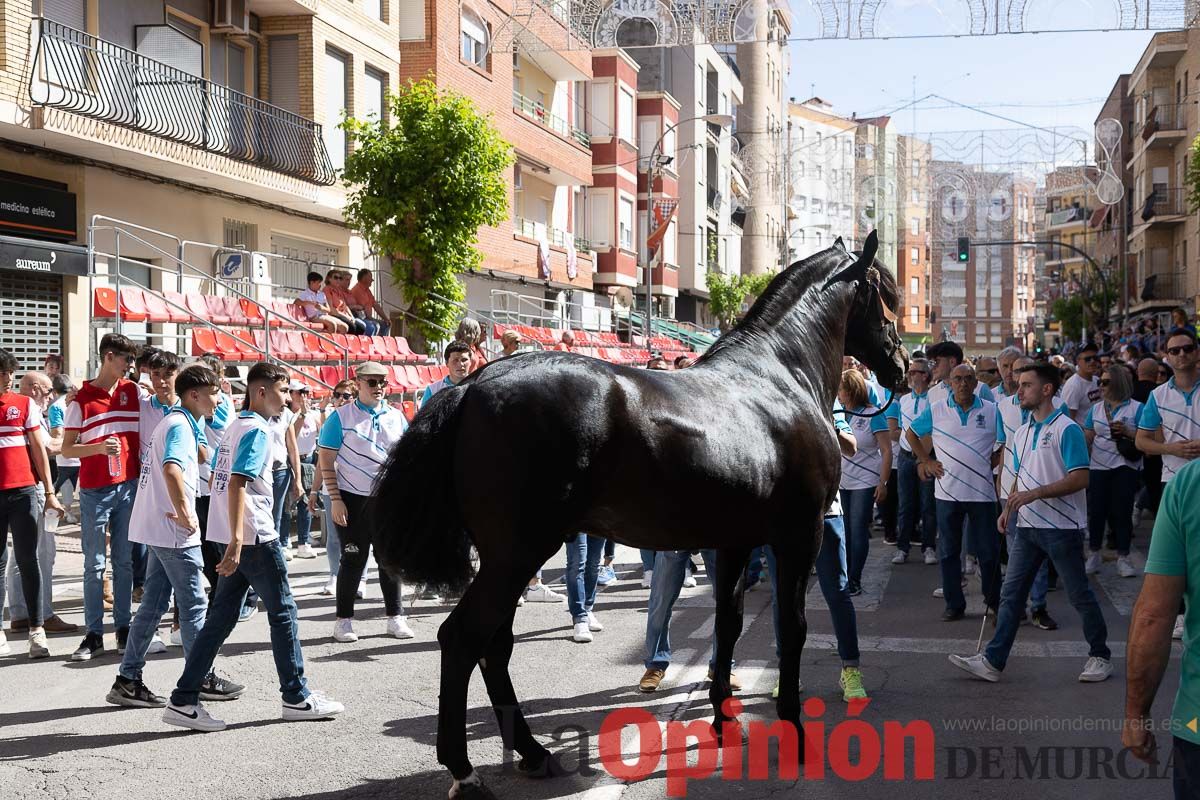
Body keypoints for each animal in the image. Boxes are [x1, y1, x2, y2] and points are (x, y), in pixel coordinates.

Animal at [369, 230, 902, 796]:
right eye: (884, 296)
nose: (899, 366)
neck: (779, 378)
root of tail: (470, 385)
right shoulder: (800, 537)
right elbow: (792, 628)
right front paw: (794, 731)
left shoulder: (736, 541)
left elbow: (729, 623)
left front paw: (723, 721)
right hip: (517, 554)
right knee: (464, 640)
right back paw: (465, 770)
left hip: (507, 558)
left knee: (495, 645)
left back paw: (533, 753)